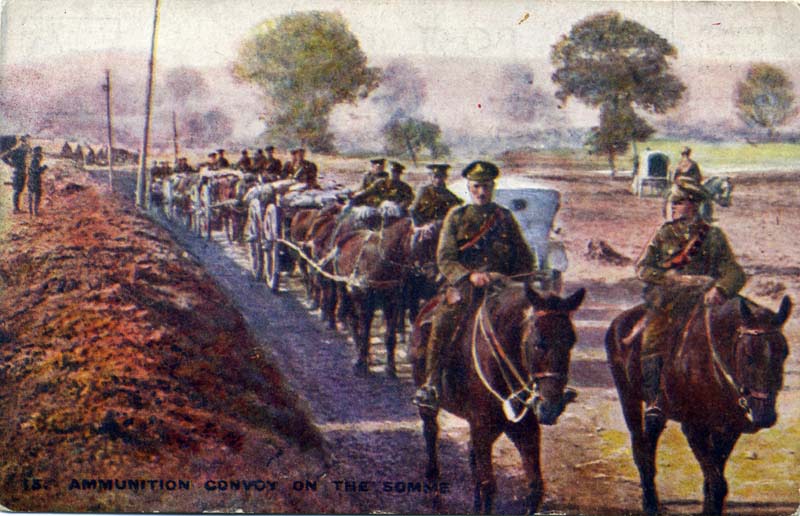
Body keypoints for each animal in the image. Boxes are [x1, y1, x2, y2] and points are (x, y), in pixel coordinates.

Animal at [412, 284, 588, 512]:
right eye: (539, 343)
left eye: (571, 341)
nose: (551, 408)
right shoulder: (482, 426)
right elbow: (489, 486)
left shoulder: (524, 428)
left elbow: (535, 488)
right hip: (429, 407)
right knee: (431, 435)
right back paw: (434, 494)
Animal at [608, 294, 792, 516]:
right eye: (748, 354)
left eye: (784, 352)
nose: (765, 416)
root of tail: (621, 320)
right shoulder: (695, 429)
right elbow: (717, 483)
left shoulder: (728, 430)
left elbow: (712, 479)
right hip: (628, 398)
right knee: (640, 448)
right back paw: (650, 505)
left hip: (658, 412)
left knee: (649, 443)